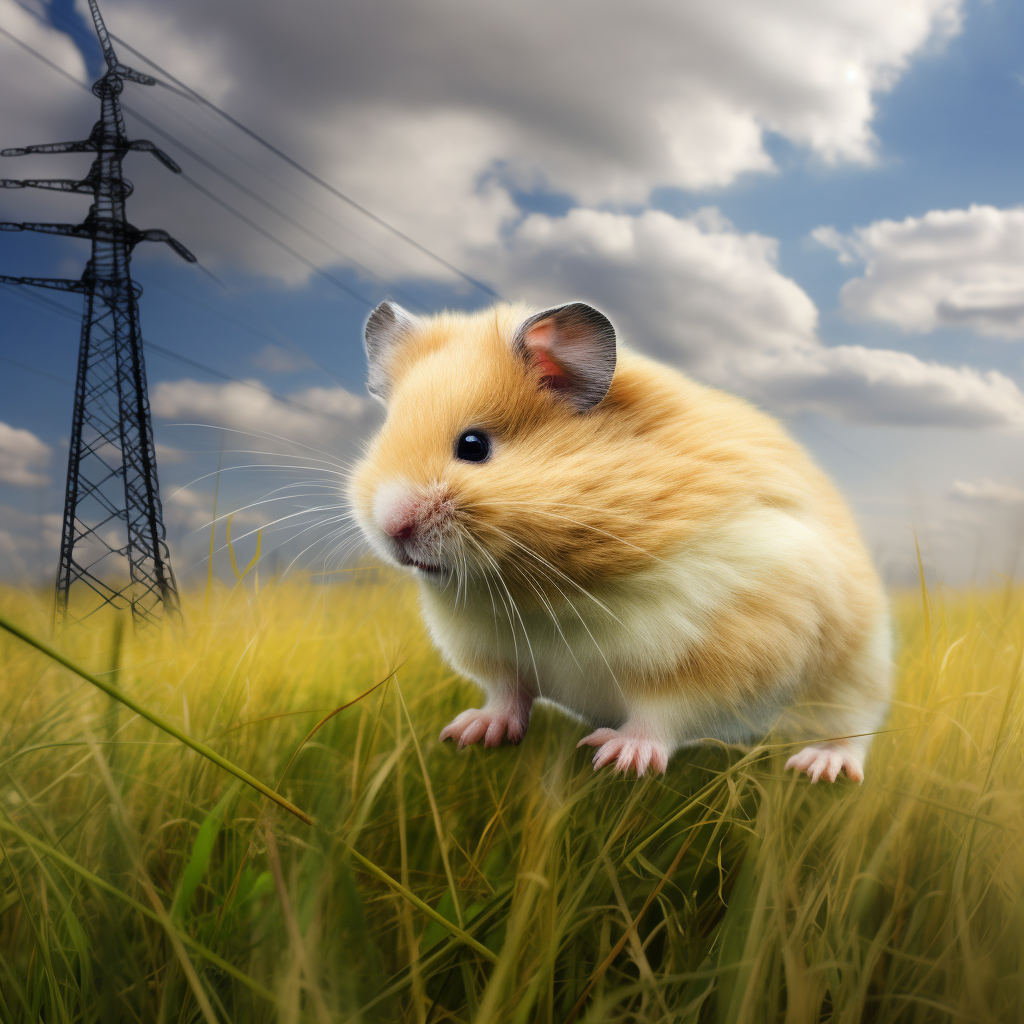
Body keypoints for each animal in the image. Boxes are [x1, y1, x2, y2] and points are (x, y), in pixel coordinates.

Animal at [348, 299, 892, 778]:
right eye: (385, 435)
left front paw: (617, 758)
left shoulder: (719, 648)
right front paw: (467, 732)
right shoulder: (496, 652)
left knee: (852, 730)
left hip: (853, 674)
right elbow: (507, 695)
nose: (392, 528)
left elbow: (664, 713)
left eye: (473, 446)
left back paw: (820, 767)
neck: (546, 591)